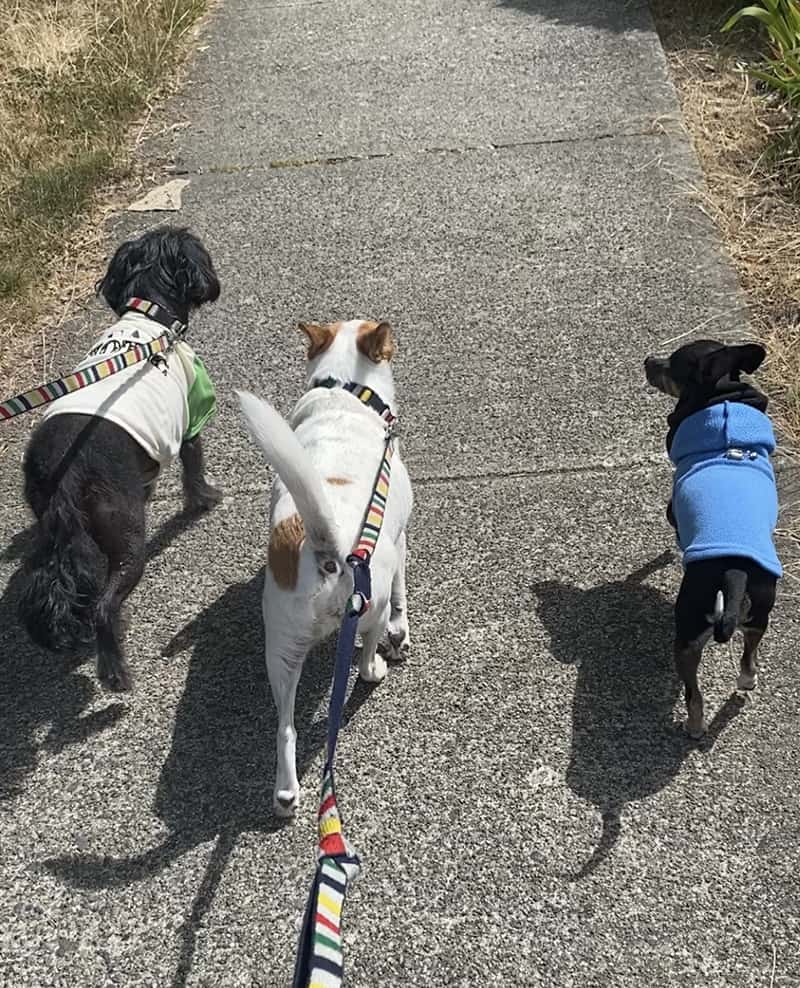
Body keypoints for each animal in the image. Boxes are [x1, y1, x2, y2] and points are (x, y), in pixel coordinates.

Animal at [19, 225, 225, 692]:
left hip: (54, 522)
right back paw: (114, 670)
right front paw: (204, 500)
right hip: (127, 533)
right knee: (105, 604)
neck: (150, 314)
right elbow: (194, 469)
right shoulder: (193, 416)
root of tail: (66, 473)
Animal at [236, 320, 412, 816]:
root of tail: (324, 546)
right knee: (367, 652)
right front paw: (402, 634)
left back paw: (286, 793)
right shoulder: (401, 543)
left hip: (281, 650)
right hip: (368, 609)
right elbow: (403, 597)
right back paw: (376, 666)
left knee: (285, 728)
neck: (343, 389)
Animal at [644, 340, 780, 732]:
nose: (647, 360)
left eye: (670, 366)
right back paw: (747, 681)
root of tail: (733, 574)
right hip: (759, 614)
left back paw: (694, 727)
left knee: (694, 695)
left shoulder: (672, 510)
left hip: (687, 638)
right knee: (749, 656)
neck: (724, 404)